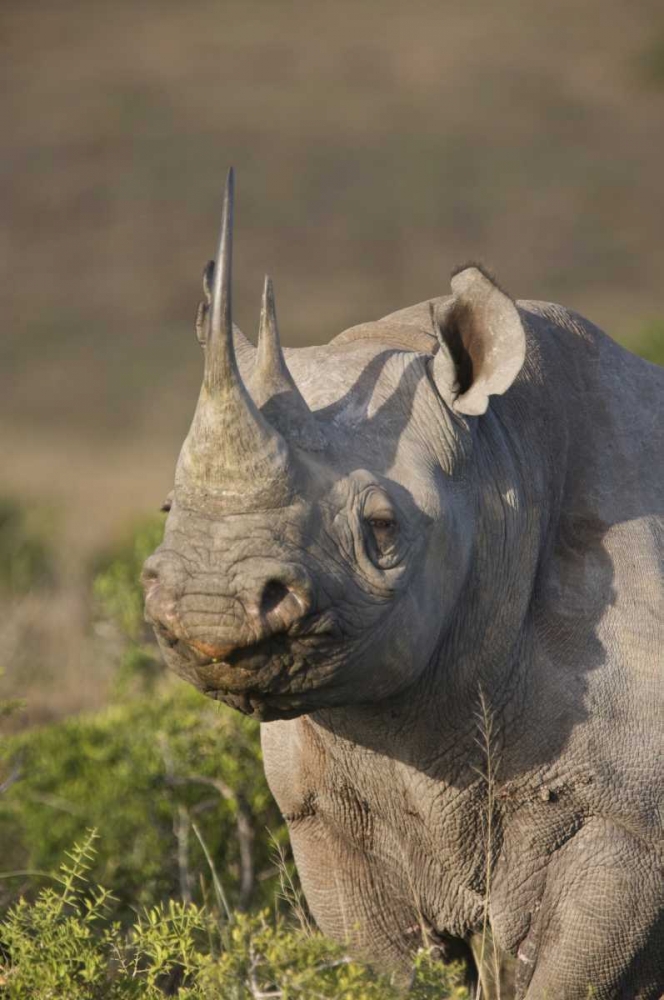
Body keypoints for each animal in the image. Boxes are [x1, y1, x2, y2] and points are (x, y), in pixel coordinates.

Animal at [142, 170, 663, 999]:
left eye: (382, 527)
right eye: (168, 510)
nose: (209, 609)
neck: (501, 460)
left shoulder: (630, 820)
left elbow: (574, 975)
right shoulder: (323, 814)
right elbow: (388, 964)